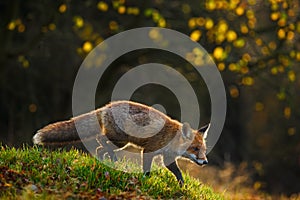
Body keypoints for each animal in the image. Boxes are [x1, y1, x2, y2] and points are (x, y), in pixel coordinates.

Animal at [33, 101, 209, 185]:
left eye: (203, 150)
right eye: (195, 148)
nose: (205, 161)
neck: (171, 138)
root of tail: (106, 107)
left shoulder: (167, 157)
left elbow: (178, 173)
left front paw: (182, 185)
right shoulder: (149, 151)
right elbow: (147, 170)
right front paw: (145, 180)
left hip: (121, 142)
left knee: (99, 149)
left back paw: (107, 161)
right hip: (120, 140)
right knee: (100, 140)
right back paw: (112, 159)